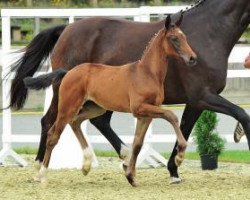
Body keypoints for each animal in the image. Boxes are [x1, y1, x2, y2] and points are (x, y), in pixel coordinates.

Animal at [24, 14, 197, 186]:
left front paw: (131, 177)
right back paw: (42, 175)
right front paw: (180, 156)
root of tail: (67, 72)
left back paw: (86, 165)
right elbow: (171, 116)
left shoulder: (145, 114)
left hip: (95, 108)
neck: (147, 73)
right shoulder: (139, 108)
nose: (192, 58)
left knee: (76, 122)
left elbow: (137, 144)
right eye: (174, 38)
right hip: (68, 107)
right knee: (53, 134)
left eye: (185, 37)